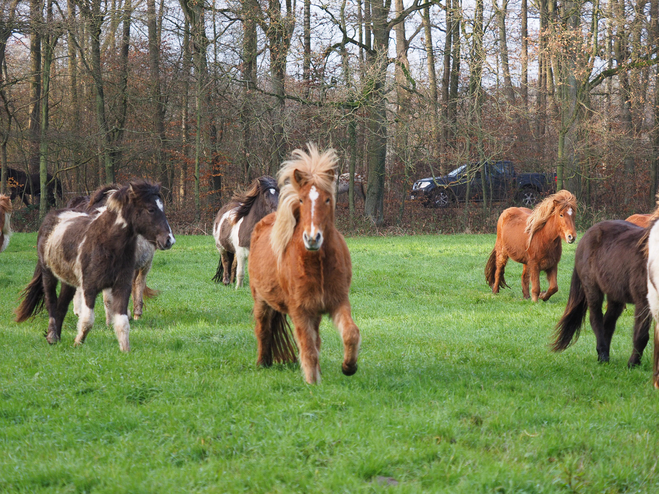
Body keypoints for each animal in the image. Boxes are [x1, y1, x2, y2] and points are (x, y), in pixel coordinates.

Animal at [248, 145, 360, 384]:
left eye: (327, 199)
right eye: (301, 200)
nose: (312, 238)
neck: (318, 264)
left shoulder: (337, 302)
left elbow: (350, 333)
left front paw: (348, 366)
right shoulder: (300, 311)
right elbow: (307, 349)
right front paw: (312, 384)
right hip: (261, 301)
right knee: (262, 330)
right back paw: (262, 363)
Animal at [552, 222, 656, 368]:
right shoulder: (643, 301)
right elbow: (641, 334)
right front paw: (633, 363)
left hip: (615, 295)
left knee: (608, 323)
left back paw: (603, 354)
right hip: (592, 289)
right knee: (596, 319)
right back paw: (603, 355)